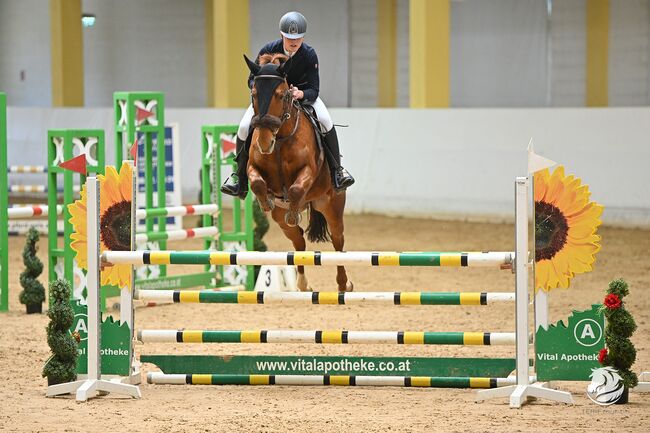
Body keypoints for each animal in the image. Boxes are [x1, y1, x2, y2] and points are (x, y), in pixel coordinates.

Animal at [242, 53, 352, 290]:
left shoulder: (308, 171)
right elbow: (257, 182)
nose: (264, 143)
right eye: (254, 94)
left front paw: (291, 207)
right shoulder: (253, 168)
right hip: (280, 220)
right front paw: (266, 201)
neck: (281, 139)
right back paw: (302, 284)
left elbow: (295, 189)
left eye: (281, 95)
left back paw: (343, 285)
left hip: (331, 205)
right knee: (298, 240)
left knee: (337, 240)